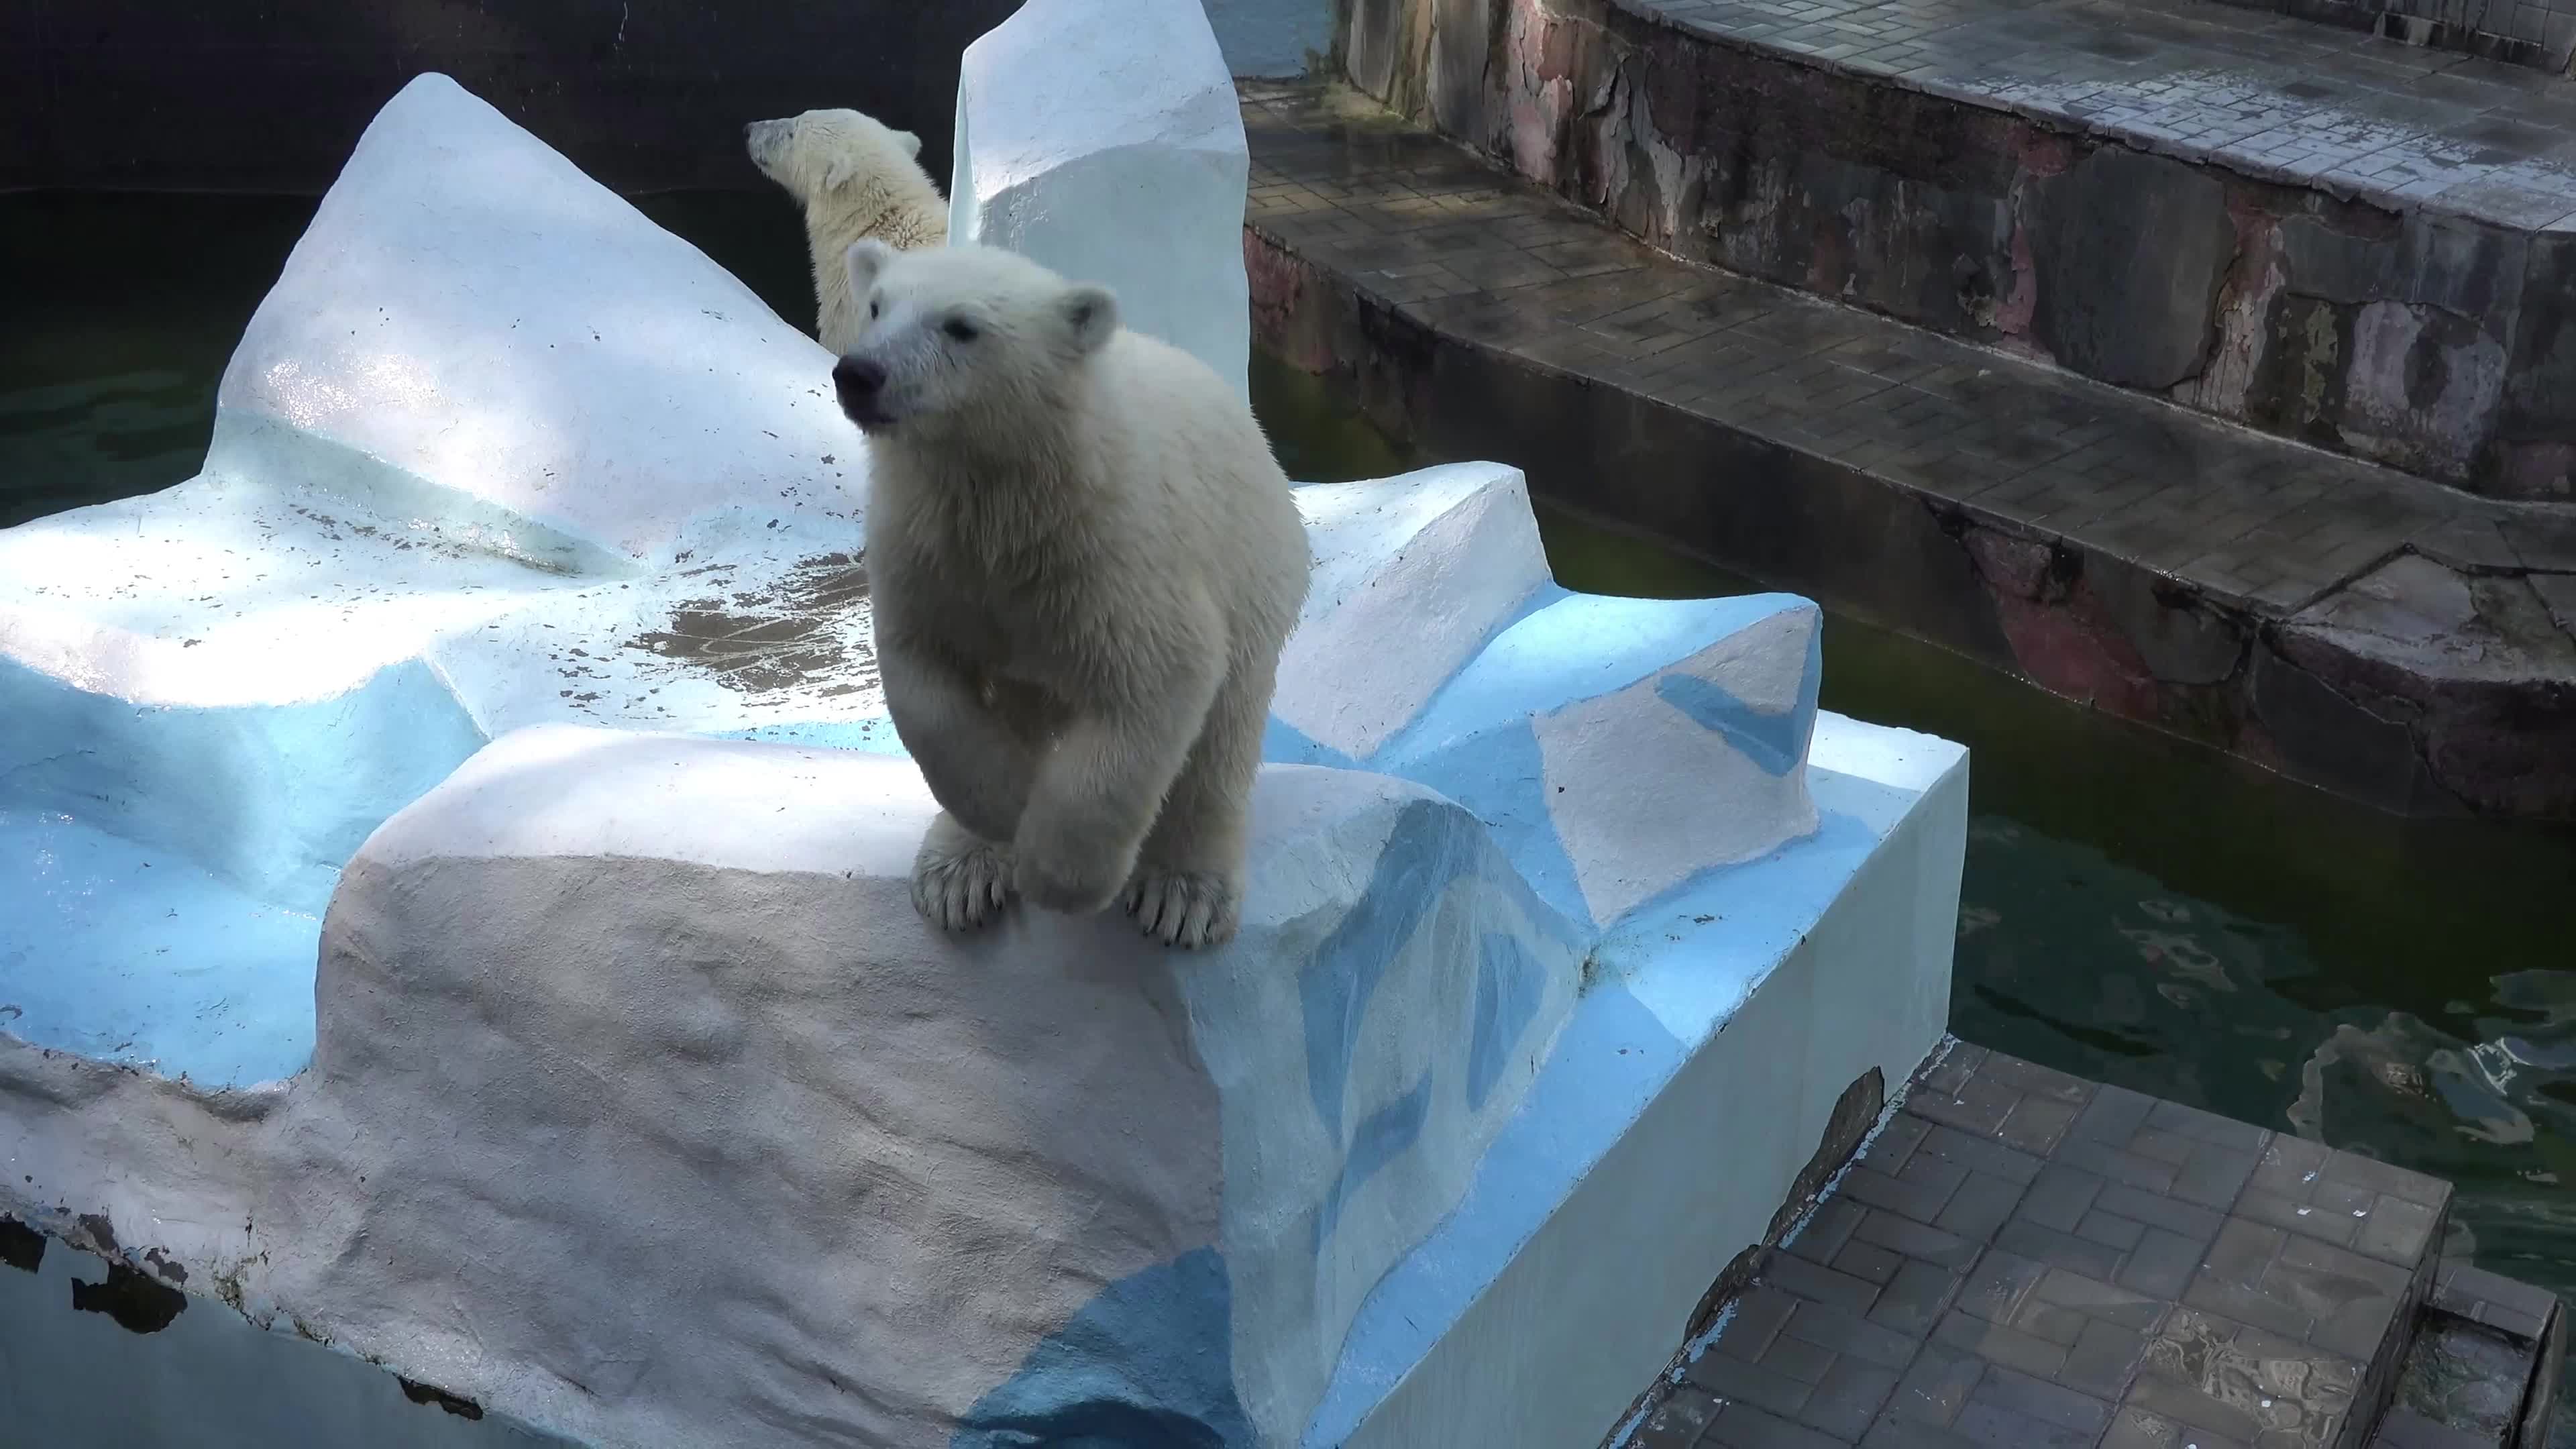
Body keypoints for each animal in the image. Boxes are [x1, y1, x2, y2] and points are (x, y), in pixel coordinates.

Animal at [829, 238, 1308, 949]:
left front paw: (1060, 877)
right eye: (877, 306)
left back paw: (1185, 890)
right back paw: (958, 870)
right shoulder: (931, 556)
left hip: (1255, 577)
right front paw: (1000, 810)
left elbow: (1156, 690)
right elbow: (926, 680)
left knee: (1221, 742)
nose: (859, 373)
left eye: (961, 326)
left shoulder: (1119, 564)